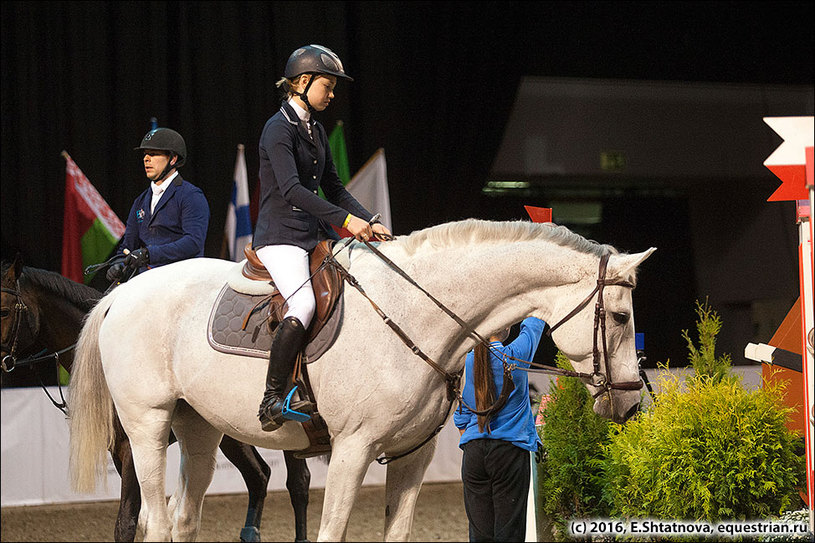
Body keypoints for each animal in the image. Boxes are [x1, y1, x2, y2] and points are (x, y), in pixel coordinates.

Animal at [0, 256, 312, 543]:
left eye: (3, 310)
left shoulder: (131, 446)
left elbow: (126, 521)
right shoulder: (121, 451)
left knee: (297, 483)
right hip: (230, 432)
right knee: (259, 475)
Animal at [68, 219, 656, 540]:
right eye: (620, 317)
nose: (630, 406)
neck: (416, 314)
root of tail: (122, 293)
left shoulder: (413, 455)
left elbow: (397, 529)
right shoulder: (351, 450)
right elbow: (331, 531)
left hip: (199, 429)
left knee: (183, 518)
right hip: (148, 426)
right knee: (156, 520)